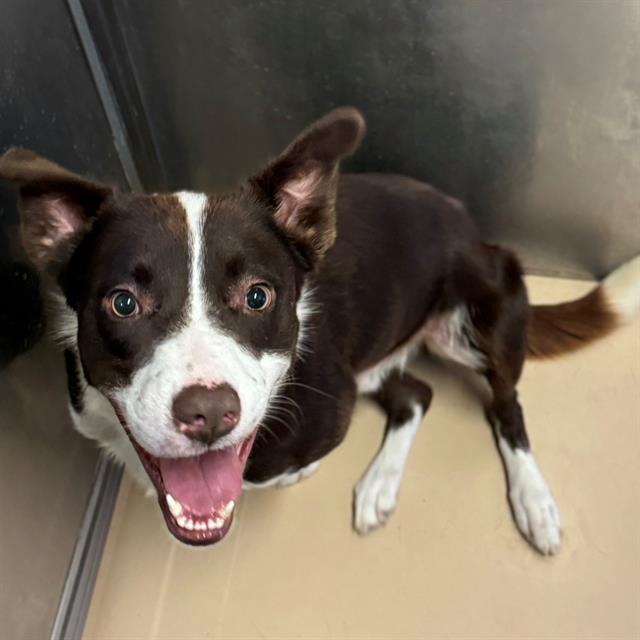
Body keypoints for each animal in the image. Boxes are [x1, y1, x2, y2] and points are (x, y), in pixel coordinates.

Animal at [1, 107, 640, 552]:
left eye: (258, 296)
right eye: (123, 303)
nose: (208, 413)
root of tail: (477, 232)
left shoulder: (330, 405)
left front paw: (296, 473)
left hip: (480, 320)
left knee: (505, 407)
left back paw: (534, 501)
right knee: (416, 393)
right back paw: (380, 485)